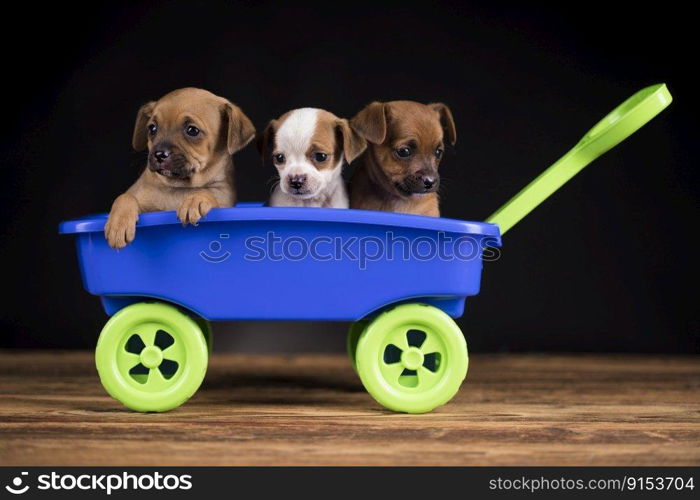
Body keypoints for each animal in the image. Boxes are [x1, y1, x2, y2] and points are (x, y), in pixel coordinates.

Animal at [105, 89, 256, 249]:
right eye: (152, 128)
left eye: (192, 130)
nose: (159, 154)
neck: (179, 187)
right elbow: (125, 197)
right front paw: (118, 223)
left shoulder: (223, 201)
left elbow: (206, 193)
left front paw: (194, 200)